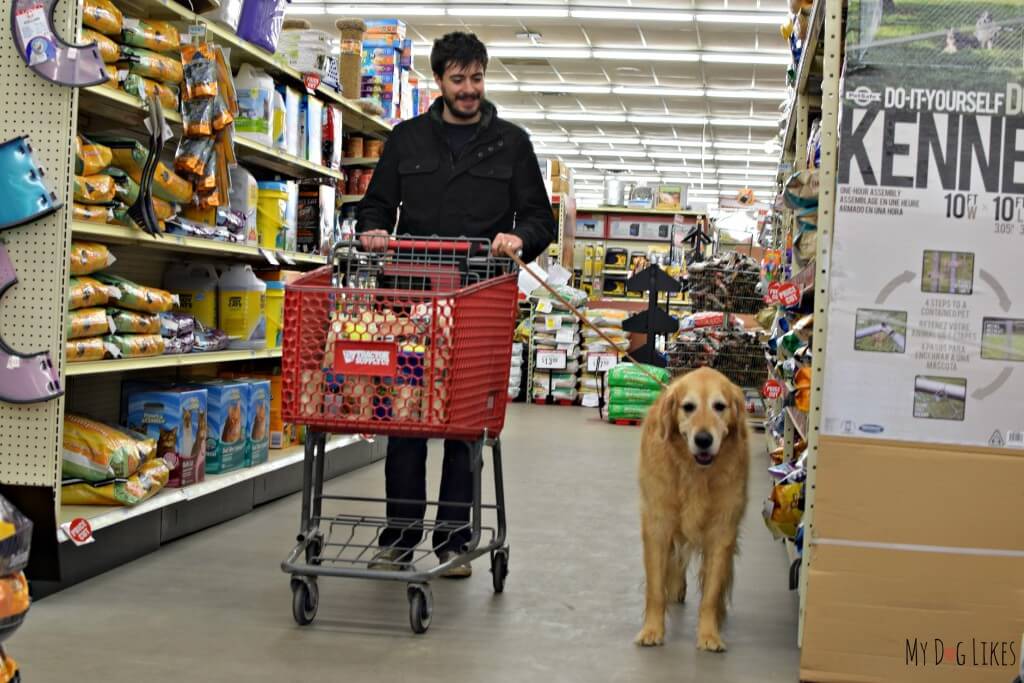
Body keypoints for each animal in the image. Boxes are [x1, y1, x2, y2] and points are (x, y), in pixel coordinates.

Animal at [634, 368, 749, 651]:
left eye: (719, 406)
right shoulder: (657, 523)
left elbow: (711, 592)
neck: (694, 472)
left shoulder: (722, 529)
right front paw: (651, 630)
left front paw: (709, 634)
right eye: (688, 407)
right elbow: (655, 588)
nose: (704, 440)